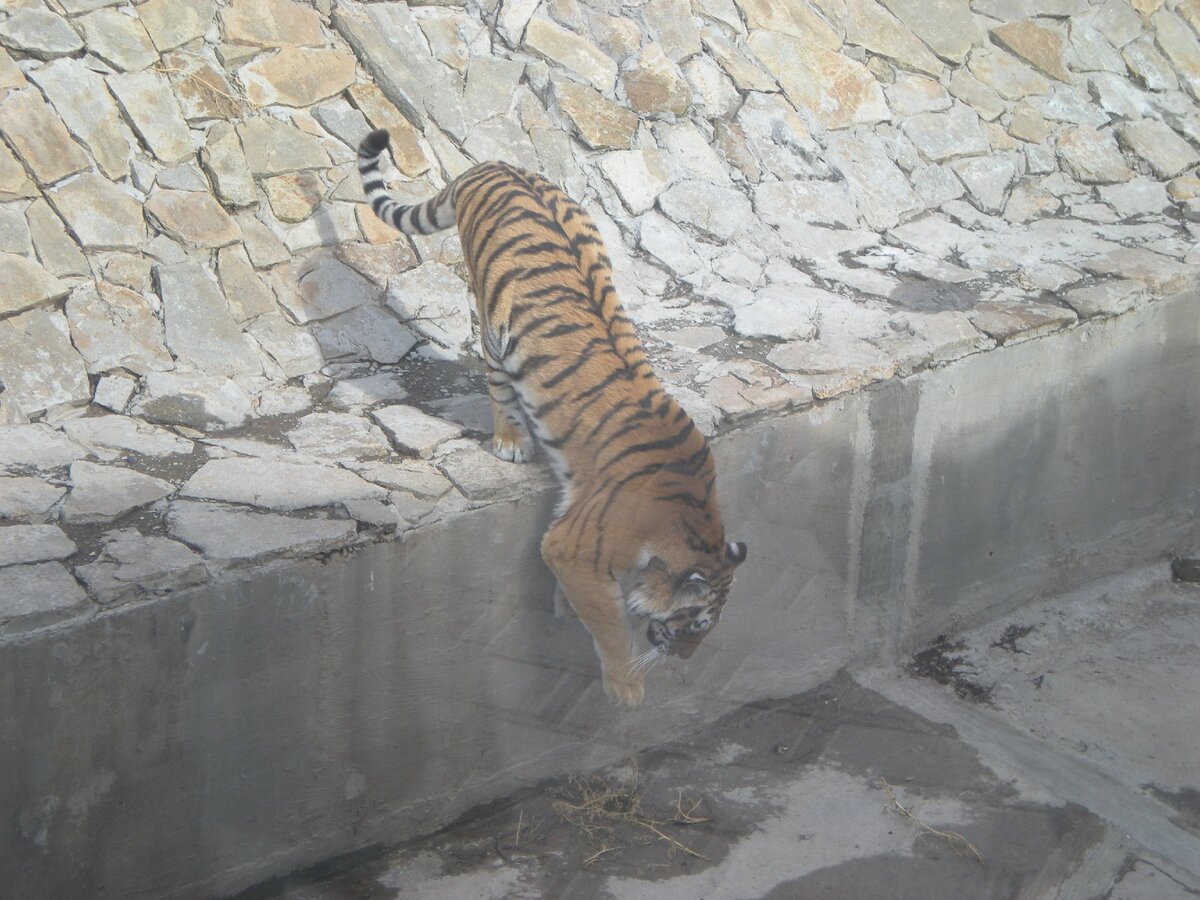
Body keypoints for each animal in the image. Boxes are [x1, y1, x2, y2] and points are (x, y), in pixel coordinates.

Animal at [360, 127, 744, 710]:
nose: (685, 660)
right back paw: (511, 440)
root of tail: (495, 164)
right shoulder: (573, 546)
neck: (689, 521)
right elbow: (610, 621)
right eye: (696, 623)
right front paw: (626, 686)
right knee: (498, 384)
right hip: (493, 326)